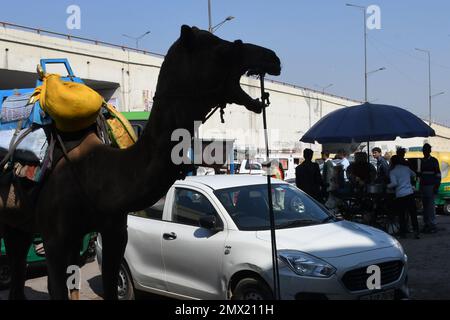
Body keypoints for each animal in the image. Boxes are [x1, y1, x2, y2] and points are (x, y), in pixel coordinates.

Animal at [0, 25, 282, 300]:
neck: (96, 175)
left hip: (19, 222)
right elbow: (57, 288)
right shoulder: (55, 238)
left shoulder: (112, 232)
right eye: (223, 49)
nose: (272, 57)